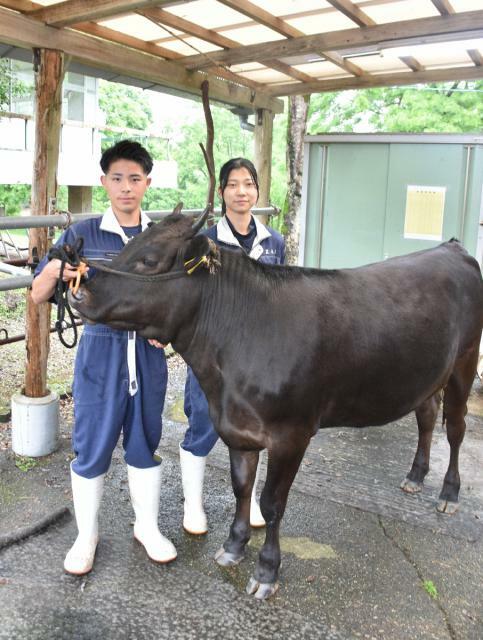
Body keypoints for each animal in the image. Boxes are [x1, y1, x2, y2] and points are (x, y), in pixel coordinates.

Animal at [70, 211, 483, 600]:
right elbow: (241, 487)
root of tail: (451, 248)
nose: (78, 292)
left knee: (456, 428)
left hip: (464, 363)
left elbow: (271, 504)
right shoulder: (237, 428)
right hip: (428, 375)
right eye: (126, 247)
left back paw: (449, 493)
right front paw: (233, 546)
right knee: (426, 417)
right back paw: (415, 475)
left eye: (149, 260)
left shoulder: (292, 434)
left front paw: (267, 571)